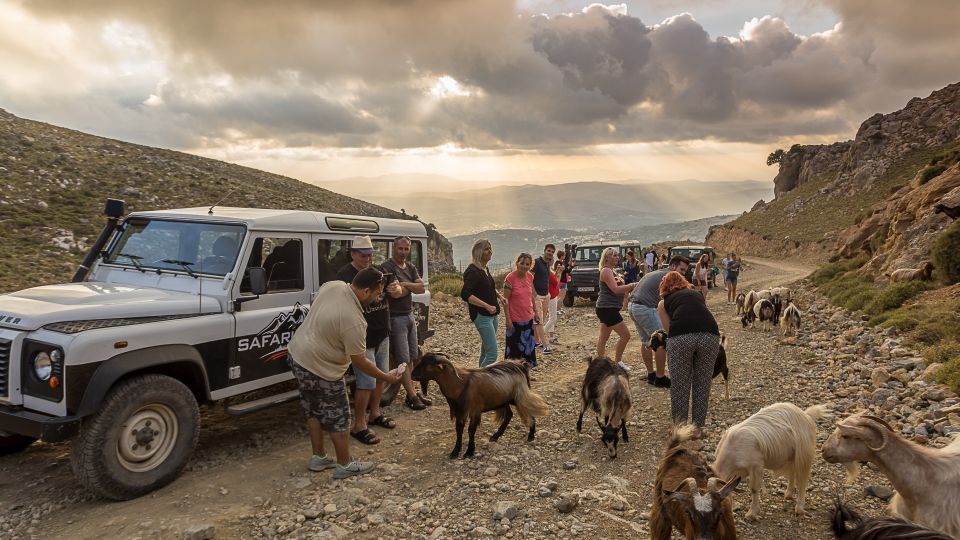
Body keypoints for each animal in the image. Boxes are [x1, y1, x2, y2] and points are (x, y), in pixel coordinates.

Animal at [410, 354, 552, 460]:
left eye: (428, 364)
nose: (412, 375)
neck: (459, 384)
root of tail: (521, 365)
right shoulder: (460, 412)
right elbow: (459, 430)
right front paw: (455, 452)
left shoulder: (474, 410)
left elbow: (471, 430)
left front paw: (469, 452)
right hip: (503, 400)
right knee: (509, 415)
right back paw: (496, 436)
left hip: (518, 397)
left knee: (529, 412)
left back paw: (531, 436)